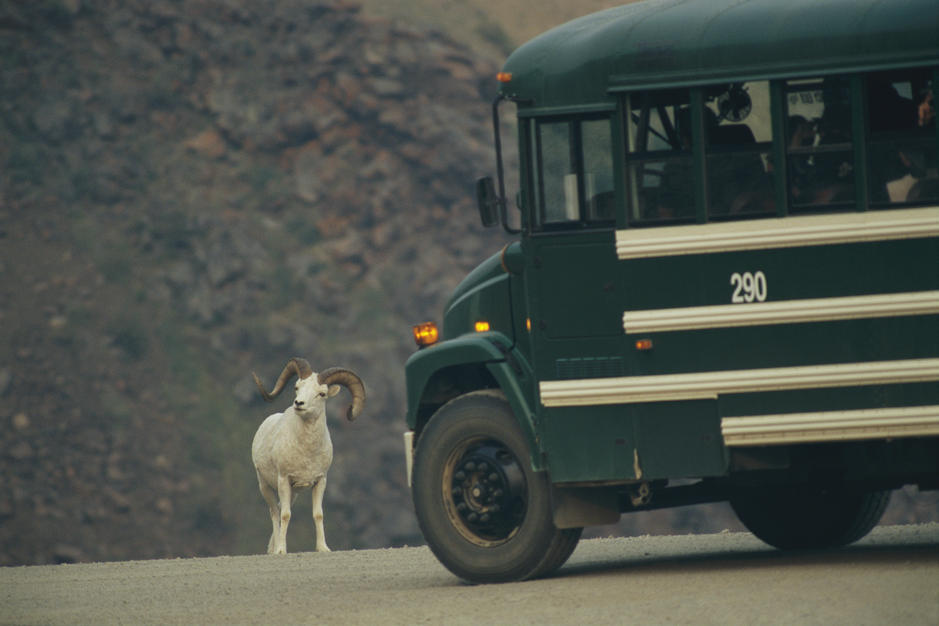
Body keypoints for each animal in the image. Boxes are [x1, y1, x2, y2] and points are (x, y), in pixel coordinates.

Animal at [251, 357, 365, 554]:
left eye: (322, 394)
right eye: (297, 387)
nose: (299, 403)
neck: (306, 452)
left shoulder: (320, 481)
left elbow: (318, 514)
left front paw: (323, 548)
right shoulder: (283, 480)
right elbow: (285, 515)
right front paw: (281, 550)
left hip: (293, 494)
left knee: (279, 509)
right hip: (265, 486)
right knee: (275, 512)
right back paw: (274, 549)